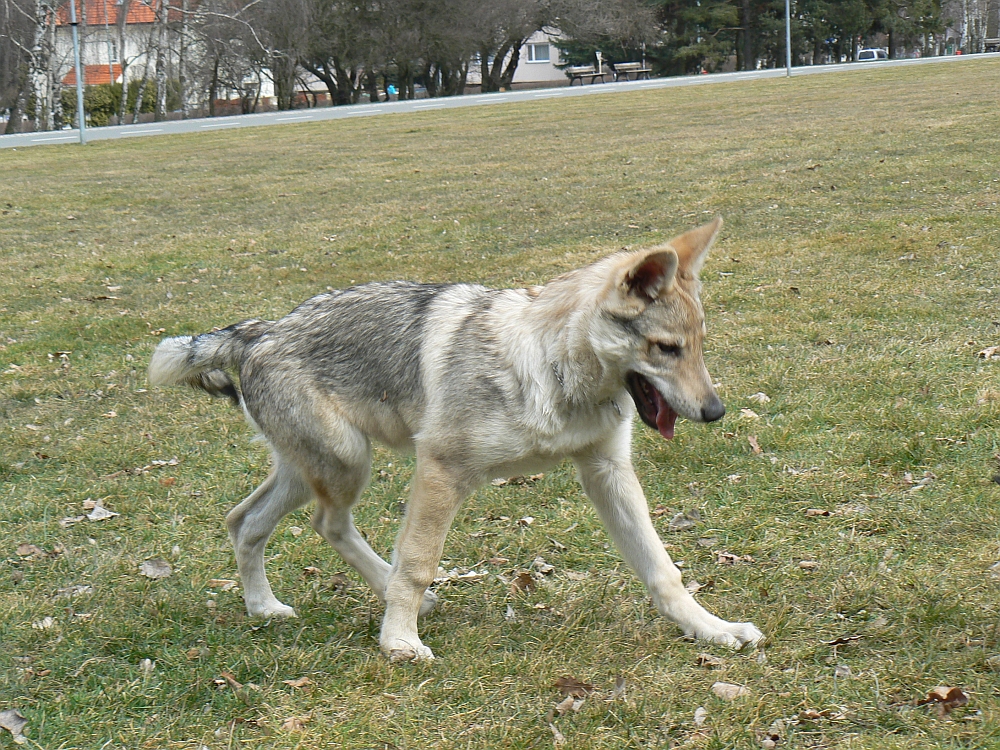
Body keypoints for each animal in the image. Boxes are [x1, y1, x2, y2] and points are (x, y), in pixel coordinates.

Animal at [148, 219, 760, 664]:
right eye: (666, 349)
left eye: (698, 345)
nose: (716, 412)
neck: (547, 366)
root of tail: (261, 330)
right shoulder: (442, 471)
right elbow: (418, 563)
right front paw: (398, 643)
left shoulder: (607, 473)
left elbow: (663, 570)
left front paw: (712, 630)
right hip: (345, 465)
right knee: (324, 526)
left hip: (314, 470)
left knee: (246, 522)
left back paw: (263, 607)